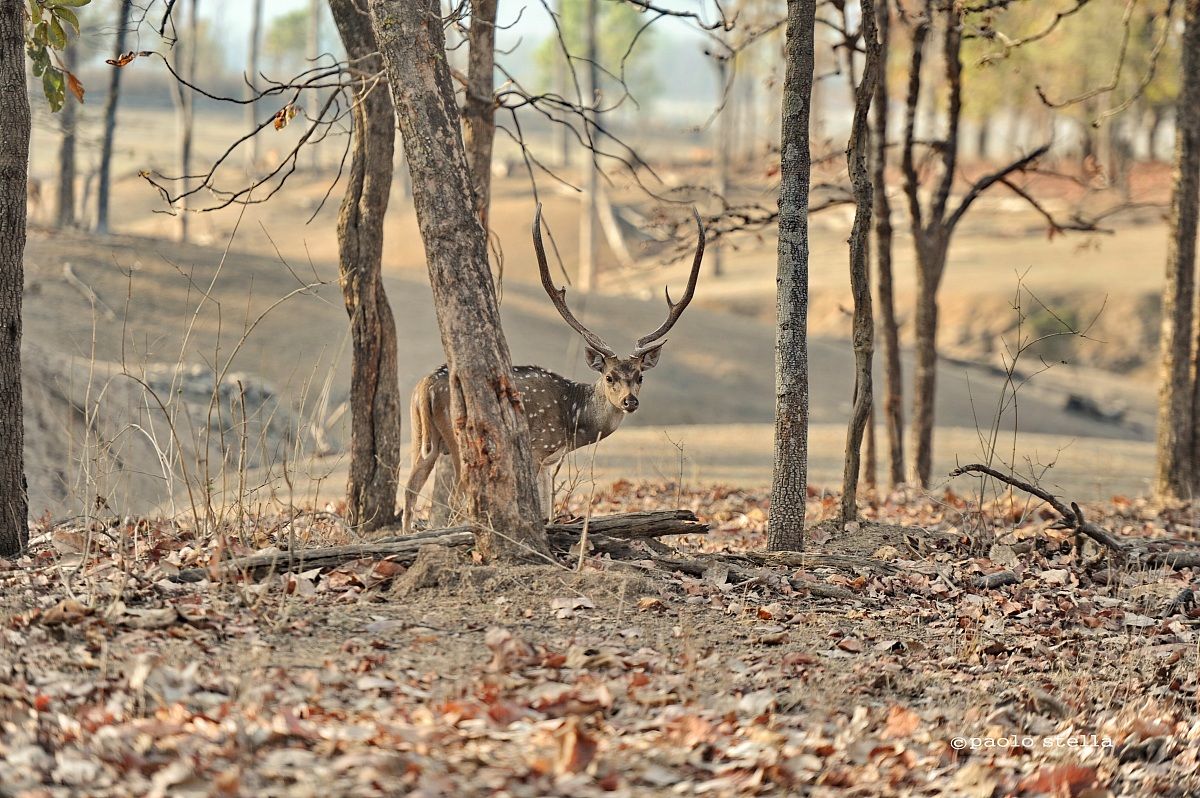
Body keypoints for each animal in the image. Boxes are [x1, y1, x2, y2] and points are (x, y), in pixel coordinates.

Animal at [402, 205, 705, 532]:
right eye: (609, 376)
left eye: (640, 377)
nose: (630, 401)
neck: (573, 420)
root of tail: (425, 387)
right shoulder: (538, 447)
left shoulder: (549, 461)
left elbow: (548, 511)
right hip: (460, 439)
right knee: (454, 495)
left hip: (422, 436)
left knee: (409, 489)